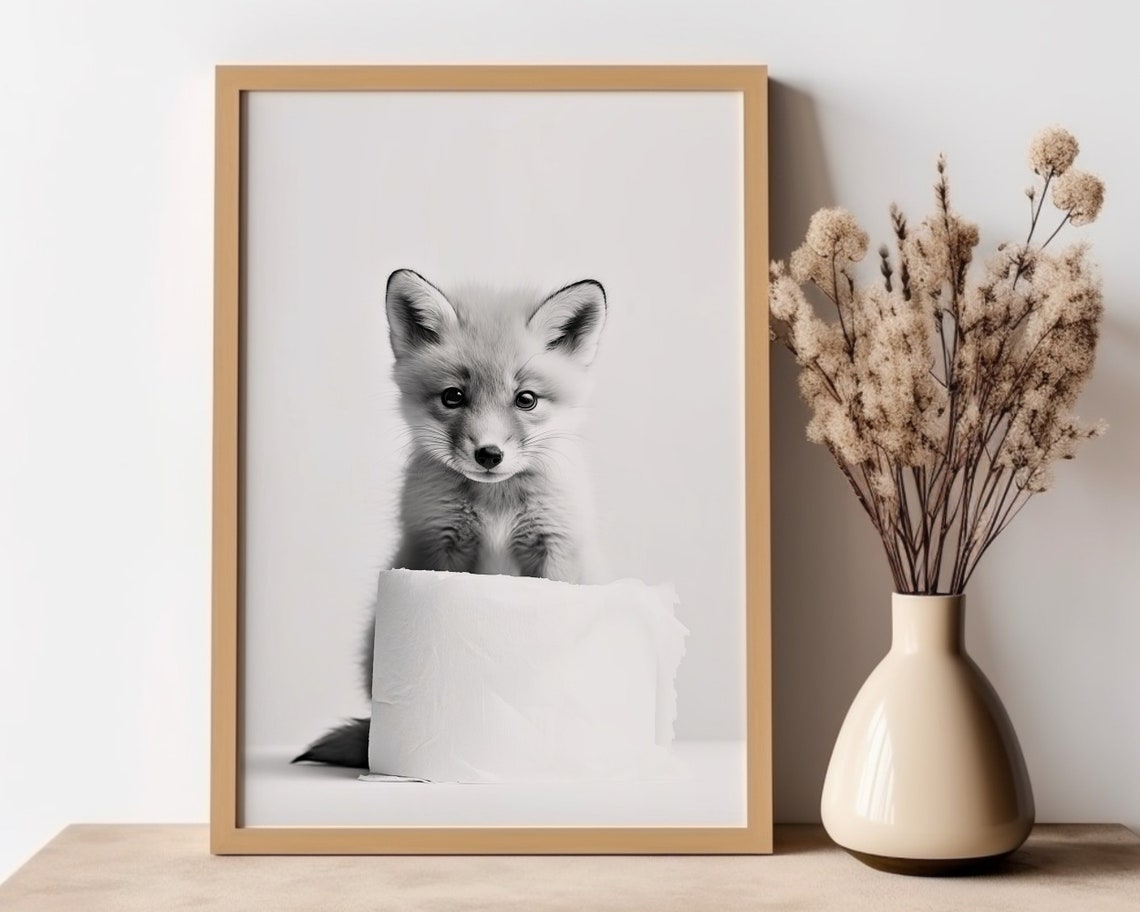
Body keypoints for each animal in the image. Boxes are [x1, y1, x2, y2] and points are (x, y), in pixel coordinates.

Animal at [293, 267, 608, 768]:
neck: (496, 503)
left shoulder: (556, 545)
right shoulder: (436, 546)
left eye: (526, 399)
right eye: (453, 397)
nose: (489, 454)